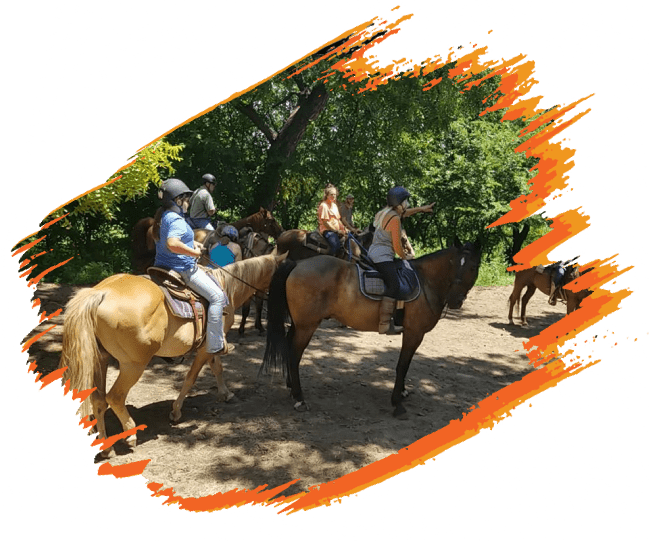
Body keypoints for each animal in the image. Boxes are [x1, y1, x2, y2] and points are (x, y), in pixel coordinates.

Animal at [59, 250, 288, 456]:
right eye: (281, 275)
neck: (227, 288)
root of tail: (101, 292)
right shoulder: (206, 348)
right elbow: (191, 378)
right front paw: (176, 411)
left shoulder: (212, 345)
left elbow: (218, 368)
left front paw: (226, 393)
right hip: (133, 364)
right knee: (114, 397)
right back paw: (131, 434)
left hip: (101, 359)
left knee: (98, 400)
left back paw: (106, 448)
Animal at [260, 240, 480, 418]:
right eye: (453, 264)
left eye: (472, 267)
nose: (454, 300)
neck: (425, 281)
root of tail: (298, 264)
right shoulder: (413, 333)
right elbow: (402, 365)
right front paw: (397, 402)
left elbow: (406, 364)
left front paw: (402, 392)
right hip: (307, 326)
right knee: (294, 355)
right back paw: (299, 397)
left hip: (298, 324)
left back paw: (291, 387)